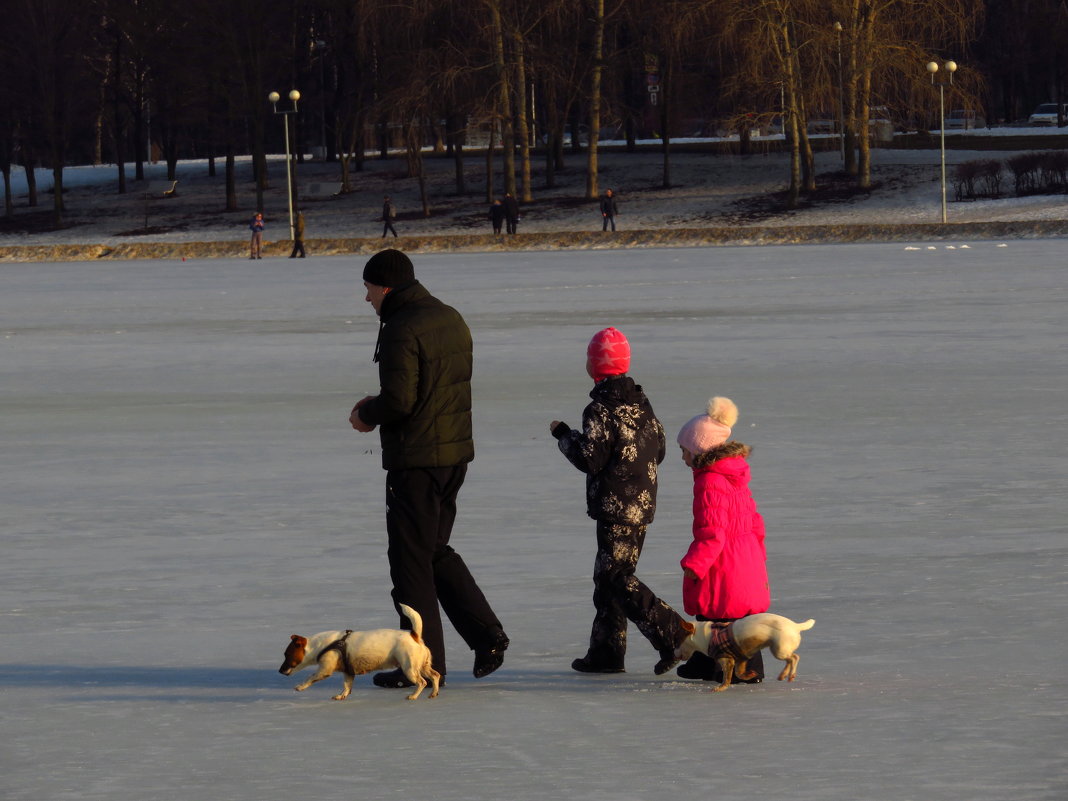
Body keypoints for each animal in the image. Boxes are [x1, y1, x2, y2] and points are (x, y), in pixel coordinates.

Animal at [279, 606, 442, 700]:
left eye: (287, 654)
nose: (280, 671)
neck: (317, 645)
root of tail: (414, 635)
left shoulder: (325, 669)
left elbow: (310, 677)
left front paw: (300, 687)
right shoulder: (347, 671)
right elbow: (347, 685)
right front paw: (342, 695)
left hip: (409, 668)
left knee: (422, 682)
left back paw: (413, 696)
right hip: (423, 666)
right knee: (435, 675)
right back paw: (433, 693)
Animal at [674, 610, 815, 692]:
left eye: (677, 641)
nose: (674, 654)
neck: (705, 636)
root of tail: (796, 626)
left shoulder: (726, 660)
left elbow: (727, 677)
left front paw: (721, 688)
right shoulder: (741, 659)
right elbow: (740, 673)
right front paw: (750, 674)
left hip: (779, 650)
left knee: (794, 657)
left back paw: (791, 675)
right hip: (778, 650)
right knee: (790, 659)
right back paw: (783, 675)